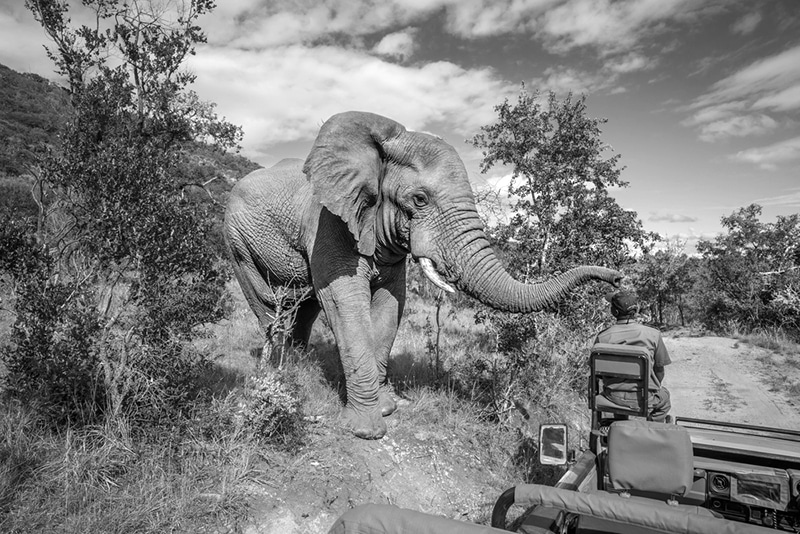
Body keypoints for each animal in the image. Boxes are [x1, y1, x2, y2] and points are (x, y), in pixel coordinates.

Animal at [222, 111, 620, 442]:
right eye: (420, 200)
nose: (616, 278)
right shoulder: (328, 221)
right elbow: (343, 300)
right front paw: (366, 431)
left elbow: (390, 304)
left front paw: (386, 407)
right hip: (237, 239)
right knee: (268, 302)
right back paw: (279, 366)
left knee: (305, 305)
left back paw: (300, 362)